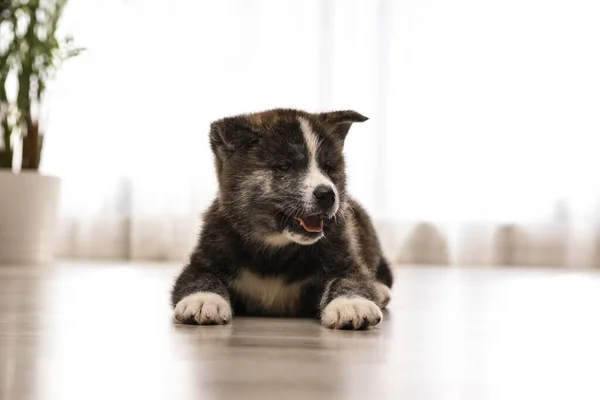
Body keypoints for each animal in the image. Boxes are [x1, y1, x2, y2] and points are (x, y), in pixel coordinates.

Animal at [171, 108, 392, 328]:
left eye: (328, 167)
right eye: (285, 166)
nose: (328, 194)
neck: (274, 253)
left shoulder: (343, 259)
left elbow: (349, 279)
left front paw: (352, 303)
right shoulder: (204, 259)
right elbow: (201, 278)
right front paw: (203, 299)